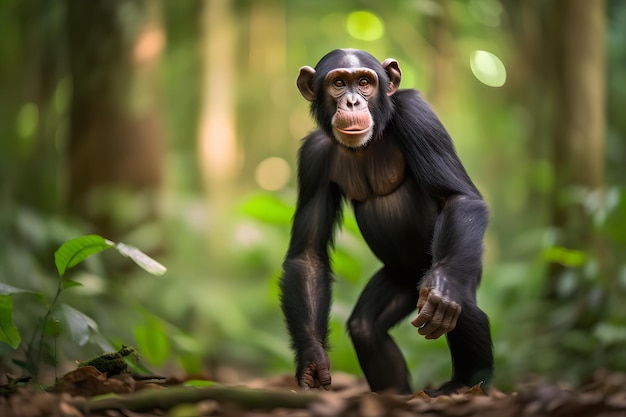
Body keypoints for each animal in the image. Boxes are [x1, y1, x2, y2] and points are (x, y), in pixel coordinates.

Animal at [280, 48, 492, 394]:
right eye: (338, 83)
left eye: (365, 82)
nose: (353, 102)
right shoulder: (313, 157)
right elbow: (308, 254)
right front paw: (312, 357)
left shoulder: (417, 116)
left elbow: (456, 198)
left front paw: (444, 286)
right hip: (400, 280)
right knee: (365, 326)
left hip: (463, 262)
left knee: (462, 308)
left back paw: (464, 385)